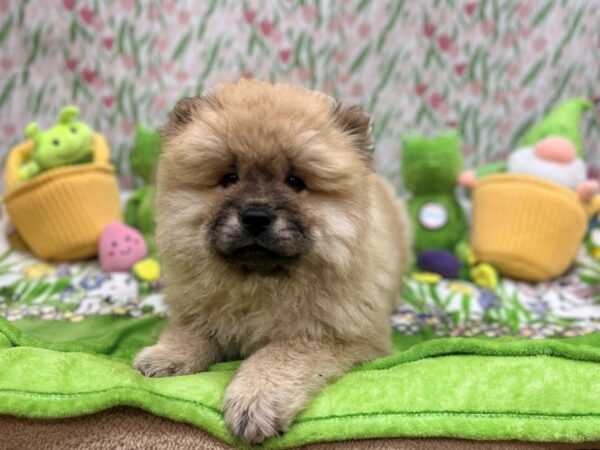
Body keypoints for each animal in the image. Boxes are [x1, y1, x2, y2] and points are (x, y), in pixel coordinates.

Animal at [133, 80, 410, 442]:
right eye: (230, 178)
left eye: (295, 182)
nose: (256, 216)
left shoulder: (340, 337)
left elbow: (278, 354)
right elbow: (189, 331)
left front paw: (255, 401)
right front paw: (164, 356)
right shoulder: (197, 310)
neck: (260, 283)